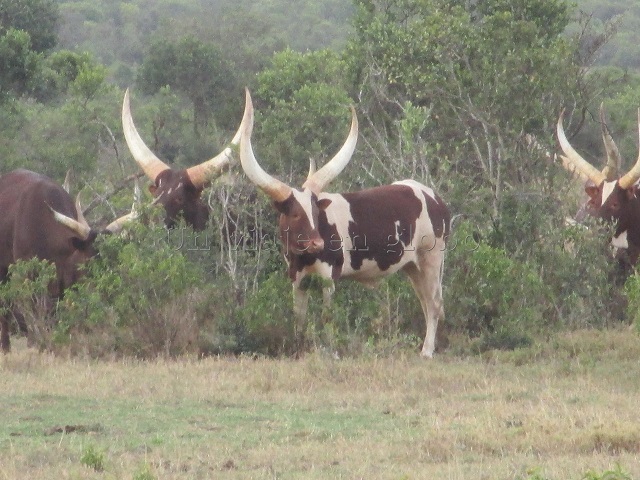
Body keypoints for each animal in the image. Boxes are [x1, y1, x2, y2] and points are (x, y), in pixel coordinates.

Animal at [0, 171, 134, 350]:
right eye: (89, 263)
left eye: (113, 263)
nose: (108, 298)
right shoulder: (28, 274)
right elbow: (35, 310)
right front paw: (35, 343)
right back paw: (5, 347)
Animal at [238, 90, 452, 358]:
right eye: (295, 214)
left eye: (315, 212)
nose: (318, 243)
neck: (304, 257)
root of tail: (435, 199)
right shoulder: (297, 279)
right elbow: (299, 319)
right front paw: (299, 350)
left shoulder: (329, 276)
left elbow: (327, 317)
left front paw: (331, 352)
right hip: (413, 266)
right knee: (425, 301)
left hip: (431, 257)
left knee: (434, 303)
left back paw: (427, 351)